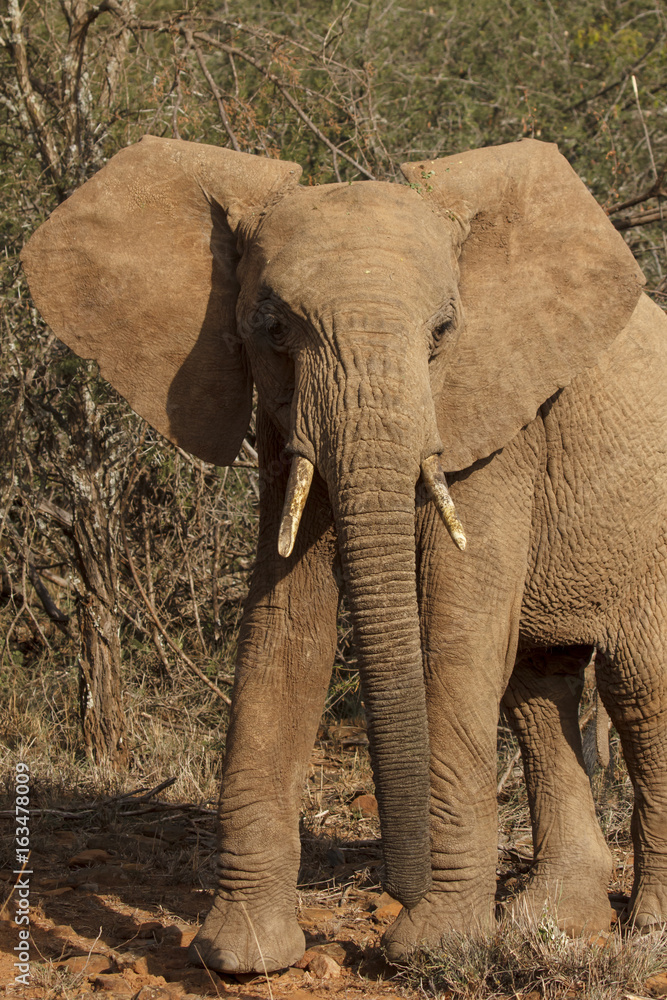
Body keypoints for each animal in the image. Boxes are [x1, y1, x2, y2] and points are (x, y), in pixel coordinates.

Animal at [21, 134, 667, 972]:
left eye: (443, 332)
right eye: (272, 328)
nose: (398, 886)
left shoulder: (496, 430)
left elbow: (454, 634)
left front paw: (431, 949)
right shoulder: (280, 422)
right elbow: (284, 626)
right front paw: (242, 957)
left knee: (638, 688)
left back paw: (643, 930)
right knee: (539, 684)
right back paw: (546, 923)